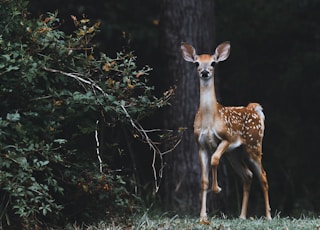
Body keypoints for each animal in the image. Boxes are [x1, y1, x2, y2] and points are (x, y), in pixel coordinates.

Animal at [181, 41, 272, 223]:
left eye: (213, 63)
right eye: (196, 63)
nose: (205, 72)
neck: (210, 119)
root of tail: (254, 109)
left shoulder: (227, 138)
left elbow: (215, 159)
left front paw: (217, 189)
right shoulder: (200, 145)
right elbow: (203, 180)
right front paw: (202, 216)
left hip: (254, 145)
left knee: (263, 176)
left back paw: (268, 216)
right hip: (235, 154)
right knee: (248, 175)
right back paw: (242, 216)